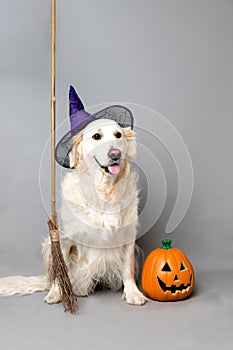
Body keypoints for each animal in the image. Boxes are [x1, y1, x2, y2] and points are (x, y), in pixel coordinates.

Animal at [0, 119, 146, 304]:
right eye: (96, 136)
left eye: (118, 135)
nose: (115, 154)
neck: (104, 191)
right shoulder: (63, 238)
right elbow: (60, 269)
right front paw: (56, 292)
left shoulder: (128, 236)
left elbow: (128, 268)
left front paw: (133, 293)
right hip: (49, 244)